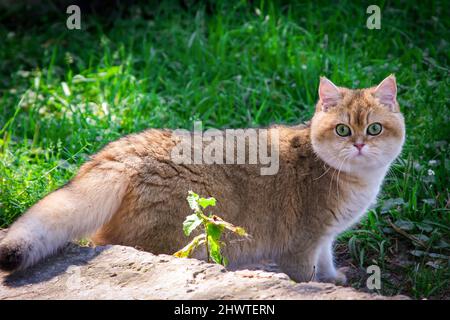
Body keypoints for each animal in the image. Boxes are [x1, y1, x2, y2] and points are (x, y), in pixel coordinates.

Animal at [0, 74, 404, 282]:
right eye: (341, 130)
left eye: (374, 128)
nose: (358, 145)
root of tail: (128, 147)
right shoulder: (302, 243)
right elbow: (305, 274)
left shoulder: (324, 238)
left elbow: (327, 260)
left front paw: (333, 279)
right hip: (175, 239)